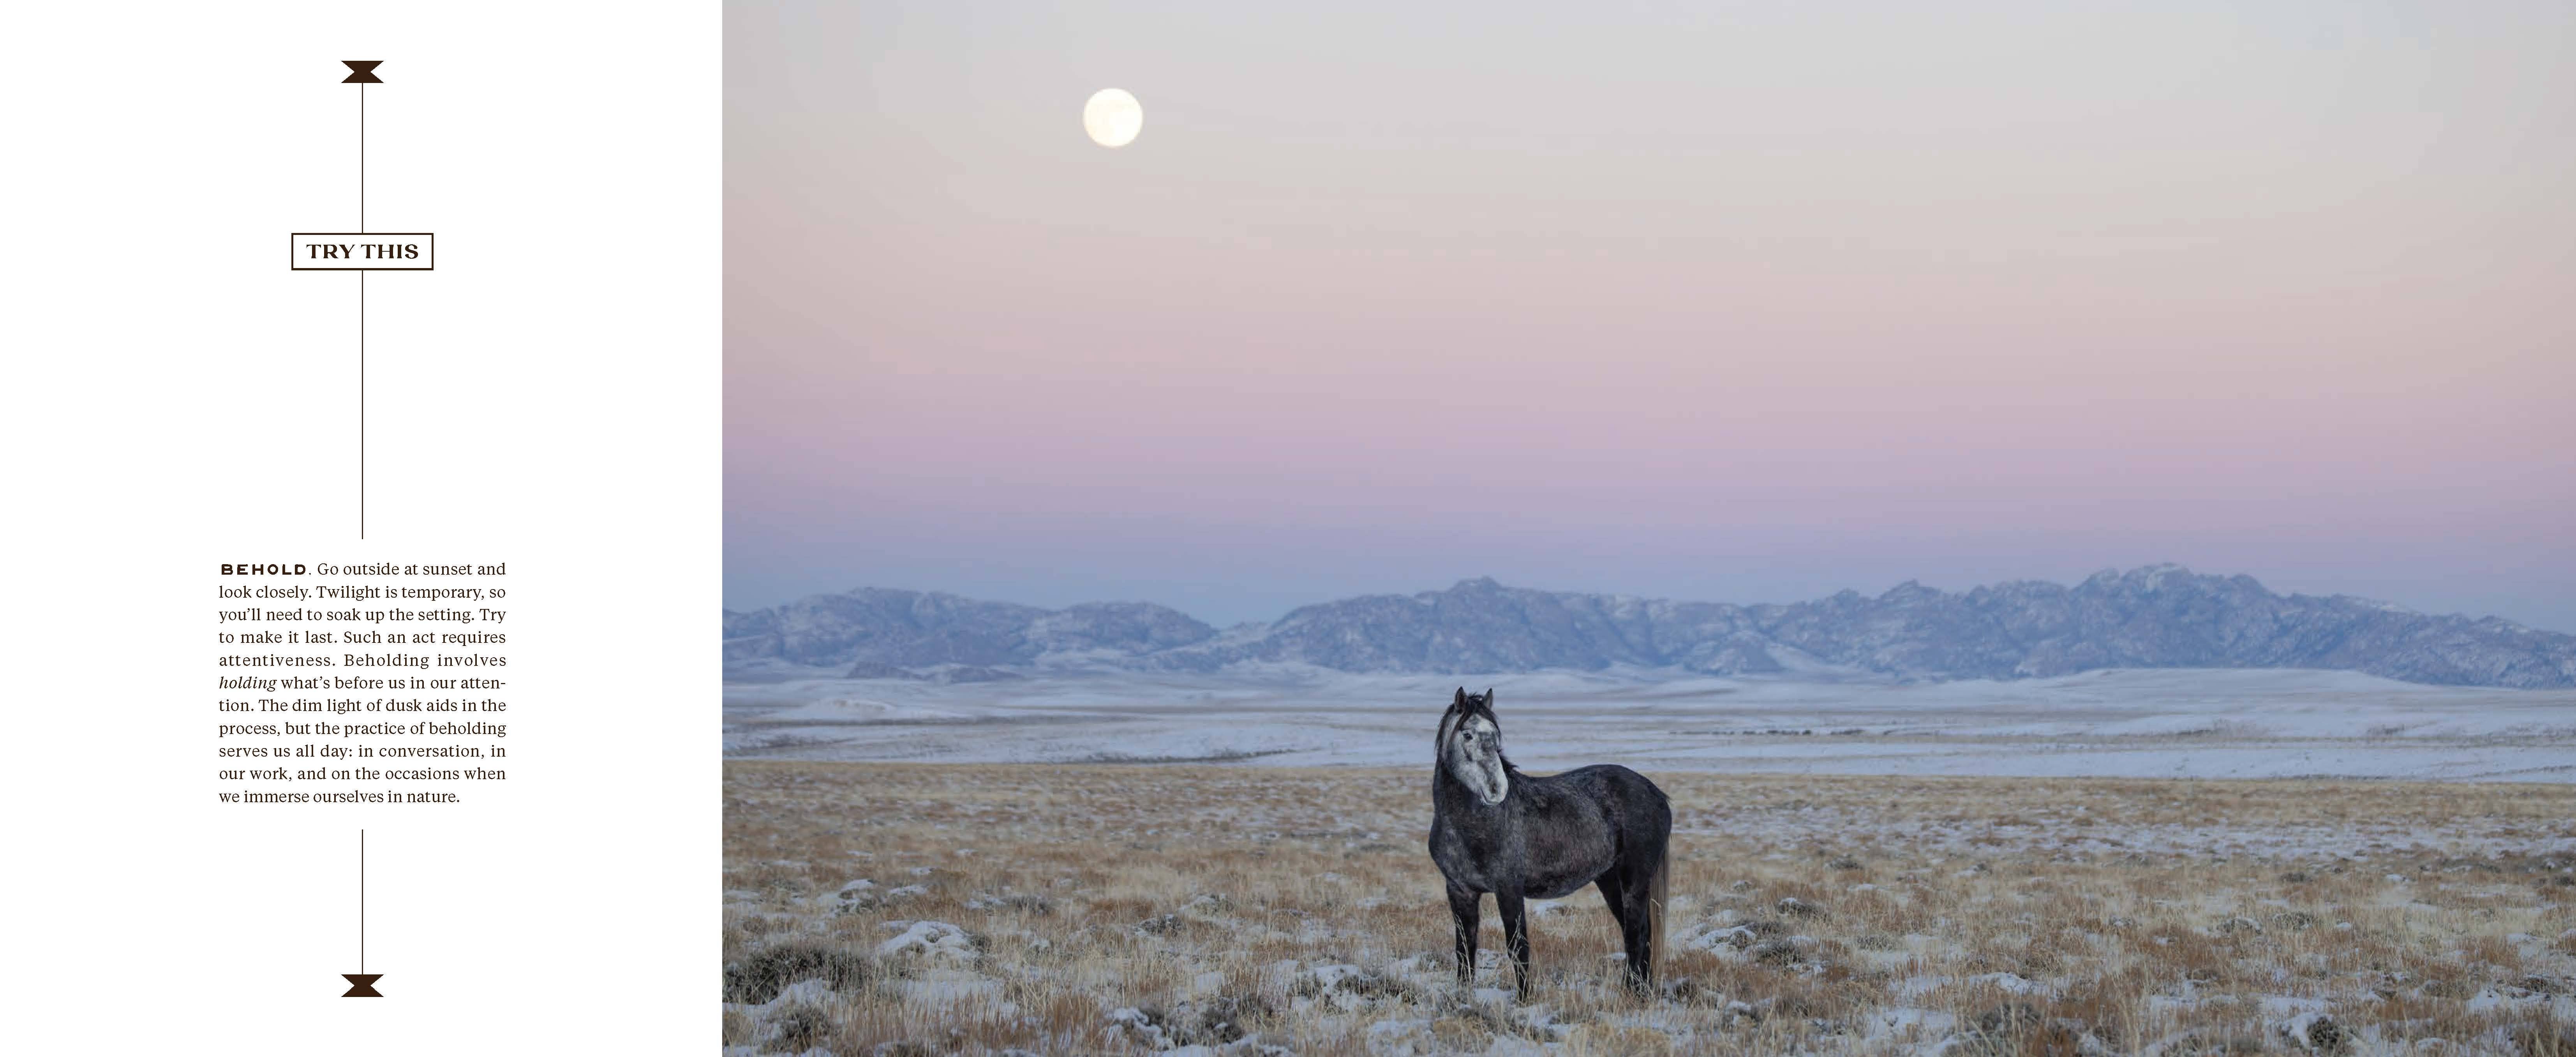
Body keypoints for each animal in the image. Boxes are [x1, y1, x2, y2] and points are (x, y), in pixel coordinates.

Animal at [1427, 687, 1673, 999]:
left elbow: (1517, 947)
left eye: (1495, 735)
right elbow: (1465, 949)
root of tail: (1656, 794)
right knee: (1640, 932)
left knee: (1636, 934)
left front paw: (1525, 999)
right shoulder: (1460, 891)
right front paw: (1463, 997)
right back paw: (1640, 990)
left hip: (1635, 880)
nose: (1498, 789)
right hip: (1609, 880)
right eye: (1468, 735)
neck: (1471, 825)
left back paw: (1631, 993)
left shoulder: (1509, 889)